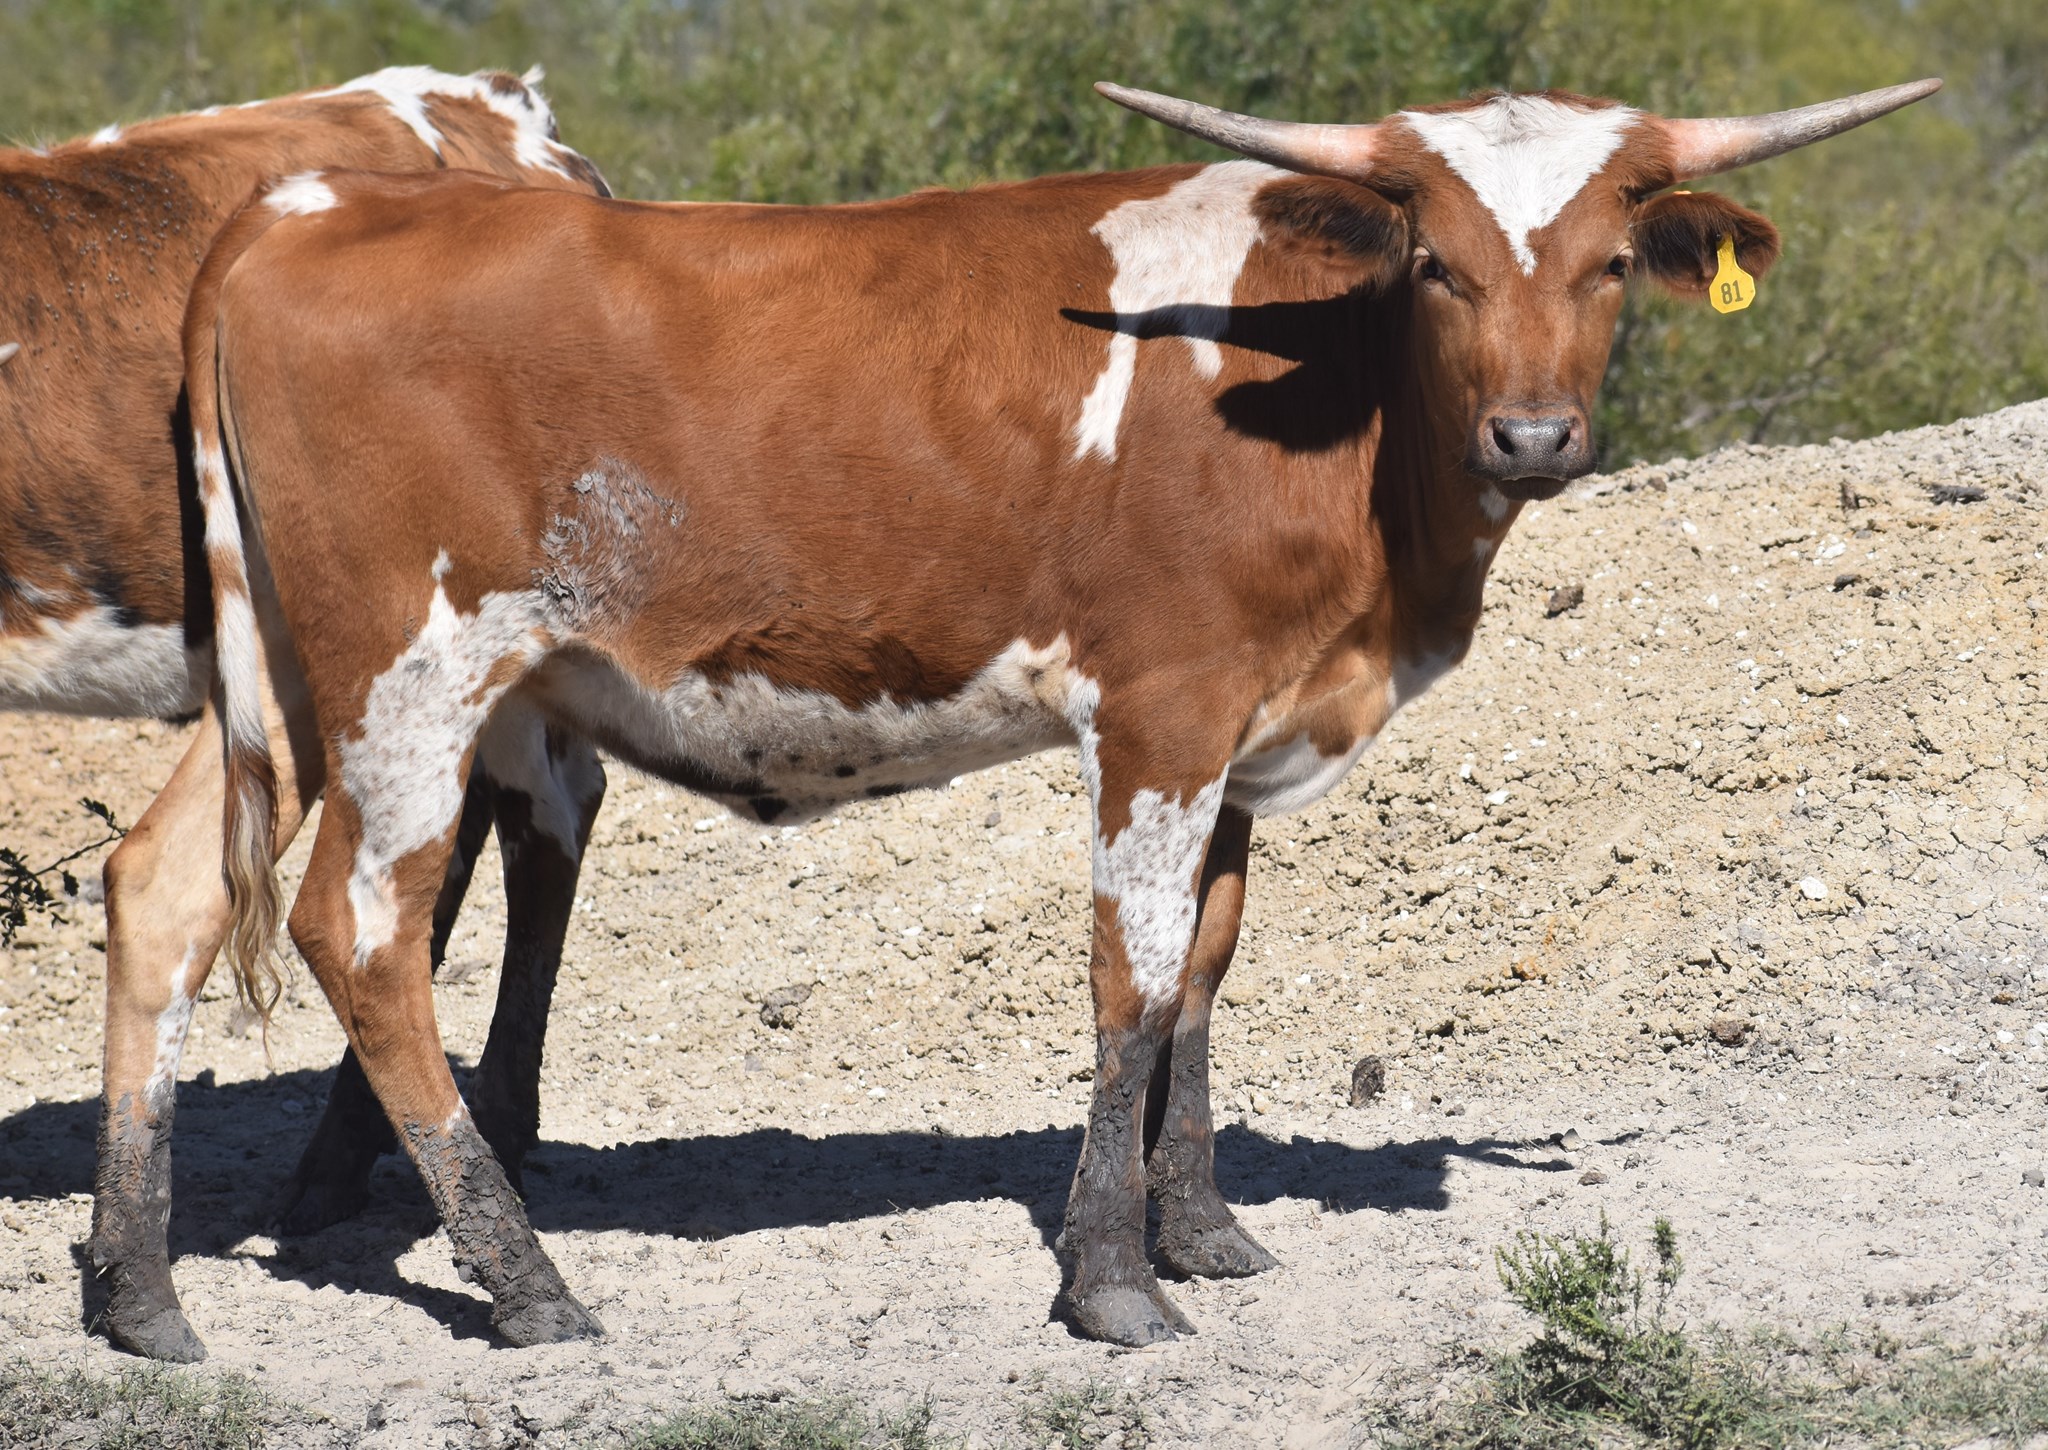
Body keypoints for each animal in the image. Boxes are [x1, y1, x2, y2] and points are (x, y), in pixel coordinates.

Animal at [186, 77, 1937, 1349]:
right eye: (1437, 263)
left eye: (1611, 263)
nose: (1530, 435)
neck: (1333, 397)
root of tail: (307, 205)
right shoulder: (1160, 711)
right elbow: (1134, 976)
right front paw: (1111, 1278)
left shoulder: (1244, 724)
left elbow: (1209, 969)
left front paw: (1204, 1227)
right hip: (407, 683)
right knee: (363, 934)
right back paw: (527, 1279)